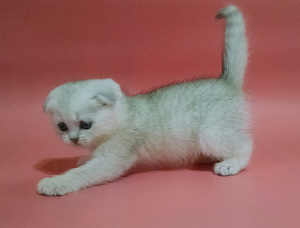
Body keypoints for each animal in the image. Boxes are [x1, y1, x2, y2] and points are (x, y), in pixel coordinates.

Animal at [38, 6, 252, 197]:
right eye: (62, 126)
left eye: (85, 124)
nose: (73, 139)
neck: (120, 117)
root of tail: (226, 81)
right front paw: (85, 157)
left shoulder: (112, 159)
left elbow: (82, 174)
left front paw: (54, 183)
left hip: (211, 132)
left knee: (245, 144)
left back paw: (231, 163)